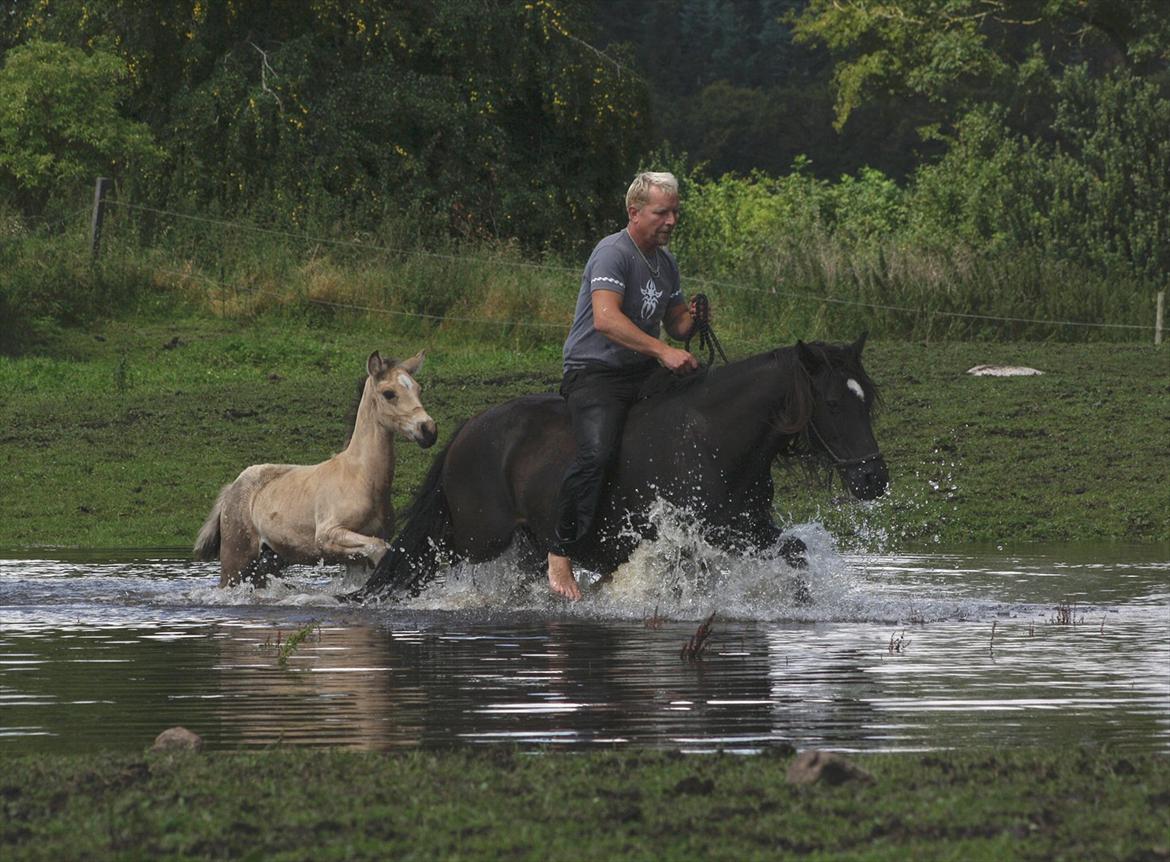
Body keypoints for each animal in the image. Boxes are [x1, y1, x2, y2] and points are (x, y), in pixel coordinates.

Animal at [194, 350, 437, 584]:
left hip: (271, 560)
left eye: (418, 389)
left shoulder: (355, 559)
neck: (362, 477)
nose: (428, 430)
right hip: (237, 558)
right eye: (389, 393)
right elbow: (380, 548)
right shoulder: (328, 535)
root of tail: (231, 488)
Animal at [348, 332, 884, 603]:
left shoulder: (746, 526)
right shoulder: (705, 531)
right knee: (419, 561)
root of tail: (466, 430)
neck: (715, 437)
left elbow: (795, 552)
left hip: (520, 544)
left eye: (868, 400)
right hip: (475, 539)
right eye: (832, 403)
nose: (873, 480)